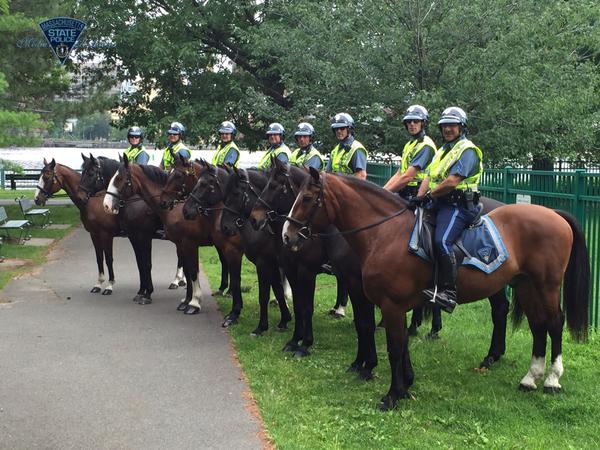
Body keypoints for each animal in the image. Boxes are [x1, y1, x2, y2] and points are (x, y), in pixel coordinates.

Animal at [33, 159, 120, 296]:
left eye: (46, 177)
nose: (37, 199)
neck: (92, 201)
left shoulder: (107, 235)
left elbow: (109, 259)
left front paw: (110, 286)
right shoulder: (94, 234)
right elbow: (99, 258)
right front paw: (99, 283)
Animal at [179, 163, 294, 334]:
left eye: (205, 184)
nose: (186, 211)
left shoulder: (244, 256)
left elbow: (240, 283)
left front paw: (235, 314)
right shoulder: (267, 261)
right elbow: (276, 288)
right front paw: (284, 319)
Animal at [282, 169, 592, 412]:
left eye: (306, 199)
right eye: (293, 195)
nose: (287, 235)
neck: (386, 233)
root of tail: (553, 213)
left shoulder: (391, 305)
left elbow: (394, 348)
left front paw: (391, 395)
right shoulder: (396, 306)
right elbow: (402, 346)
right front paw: (405, 386)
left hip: (546, 285)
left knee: (555, 323)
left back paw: (552, 379)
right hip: (525, 285)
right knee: (539, 325)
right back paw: (530, 378)